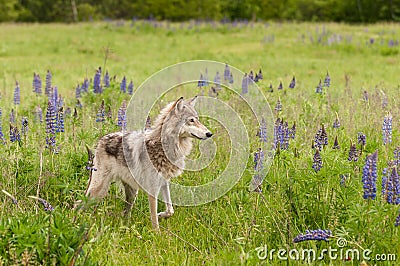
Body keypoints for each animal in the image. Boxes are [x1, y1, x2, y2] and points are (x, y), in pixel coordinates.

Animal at [83, 96, 212, 230]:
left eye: (197, 119)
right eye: (191, 120)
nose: (209, 134)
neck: (163, 147)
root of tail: (101, 140)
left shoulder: (164, 182)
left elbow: (170, 210)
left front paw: (162, 215)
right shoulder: (153, 189)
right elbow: (154, 220)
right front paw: (157, 233)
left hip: (131, 193)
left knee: (125, 213)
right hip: (98, 191)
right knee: (79, 204)